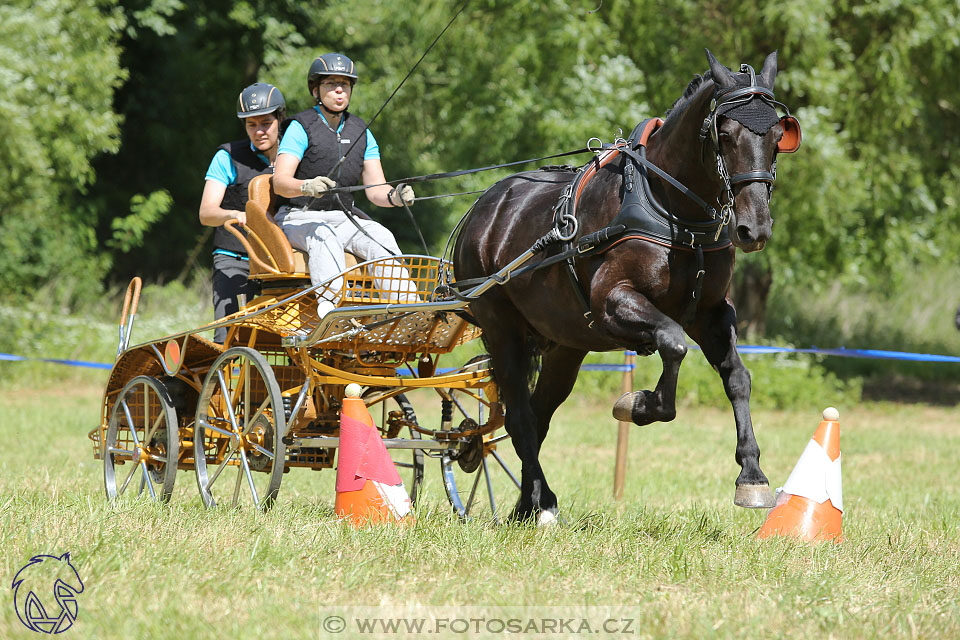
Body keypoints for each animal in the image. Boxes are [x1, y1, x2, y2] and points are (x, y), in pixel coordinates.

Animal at [454, 48, 800, 520]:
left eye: (779, 135)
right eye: (725, 134)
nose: (755, 228)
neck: (672, 209)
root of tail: (481, 211)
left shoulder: (711, 313)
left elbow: (737, 376)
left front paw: (752, 476)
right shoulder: (613, 302)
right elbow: (673, 343)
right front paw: (639, 405)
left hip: (566, 344)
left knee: (538, 416)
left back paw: (528, 504)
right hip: (502, 328)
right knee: (520, 418)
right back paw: (542, 503)